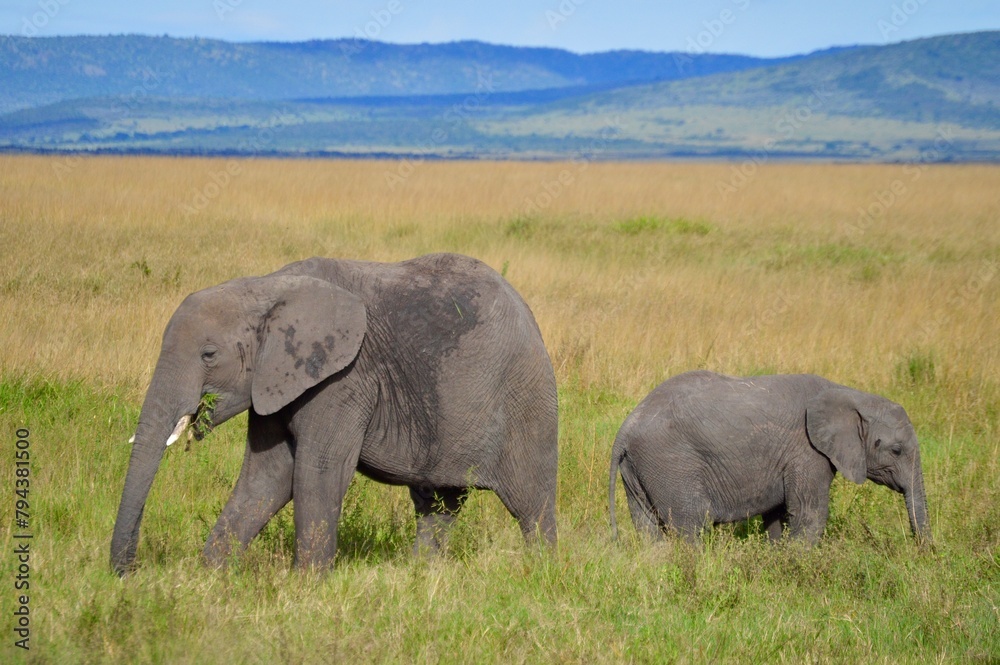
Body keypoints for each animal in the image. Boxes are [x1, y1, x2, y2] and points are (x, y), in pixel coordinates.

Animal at [111, 253, 558, 575]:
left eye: (208, 355)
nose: (126, 573)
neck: (266, 286)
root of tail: (529, 314)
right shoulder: (277, 381)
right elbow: (265, 476)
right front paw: (210, 577)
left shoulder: (344, 378)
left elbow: (319, 470)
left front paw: (306, 585)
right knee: (438, 503)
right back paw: (420, 574)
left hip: (525, 400)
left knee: (530, 505)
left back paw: (543, 573)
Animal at [609, 371, 930, 545]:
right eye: (896, 450)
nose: (924, 552)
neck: (850, 395)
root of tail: (624, 430)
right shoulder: (807, 452)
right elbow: (809, 515)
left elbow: (778, 517)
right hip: (671, 464)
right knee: (691, 524)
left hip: (638, 469)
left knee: (648, 529)